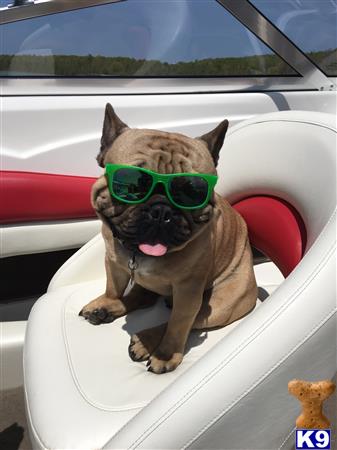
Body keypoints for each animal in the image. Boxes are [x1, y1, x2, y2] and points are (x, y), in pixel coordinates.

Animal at [79, 103, 258, 374]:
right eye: (131, 185)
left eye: (193, 191)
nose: (161, 210)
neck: (138, 254)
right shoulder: (113, 261)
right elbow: (114, 286)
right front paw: (108, 301)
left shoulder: (188, 290)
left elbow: (179, 324)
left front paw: (165, 354)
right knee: (141, 296)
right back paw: (108, 310)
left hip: (221, 305)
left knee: (190, 320)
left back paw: (146, 340)